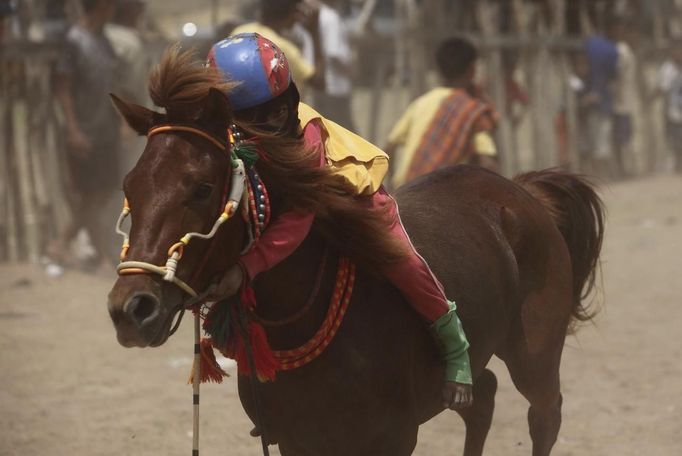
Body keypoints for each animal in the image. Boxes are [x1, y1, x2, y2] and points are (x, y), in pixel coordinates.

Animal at [105, 48, 600, 454]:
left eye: (203, 188)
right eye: (129, 187)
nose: (131, 309)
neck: (301, 317)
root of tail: (520, 191)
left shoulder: (393, 437)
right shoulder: (297, 440)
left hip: (535, 352)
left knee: (544, 414)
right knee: (483, 399)